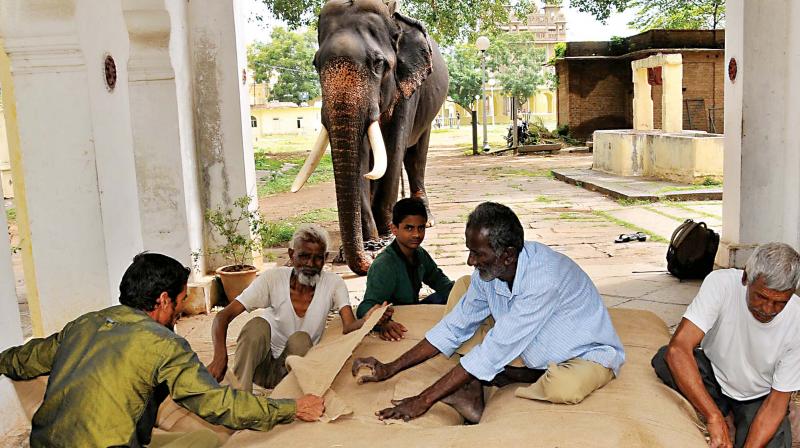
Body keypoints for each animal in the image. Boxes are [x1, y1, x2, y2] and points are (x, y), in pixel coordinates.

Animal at [290, 0, 450, 276]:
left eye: (378, 64)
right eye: (315, 64)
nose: (371, 255)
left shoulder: (407, 88)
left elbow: (394, 148)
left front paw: (386, 238)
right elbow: (363, 156)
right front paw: (370, 243)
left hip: (429, 111)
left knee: (415, 156)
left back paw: (426, 219)